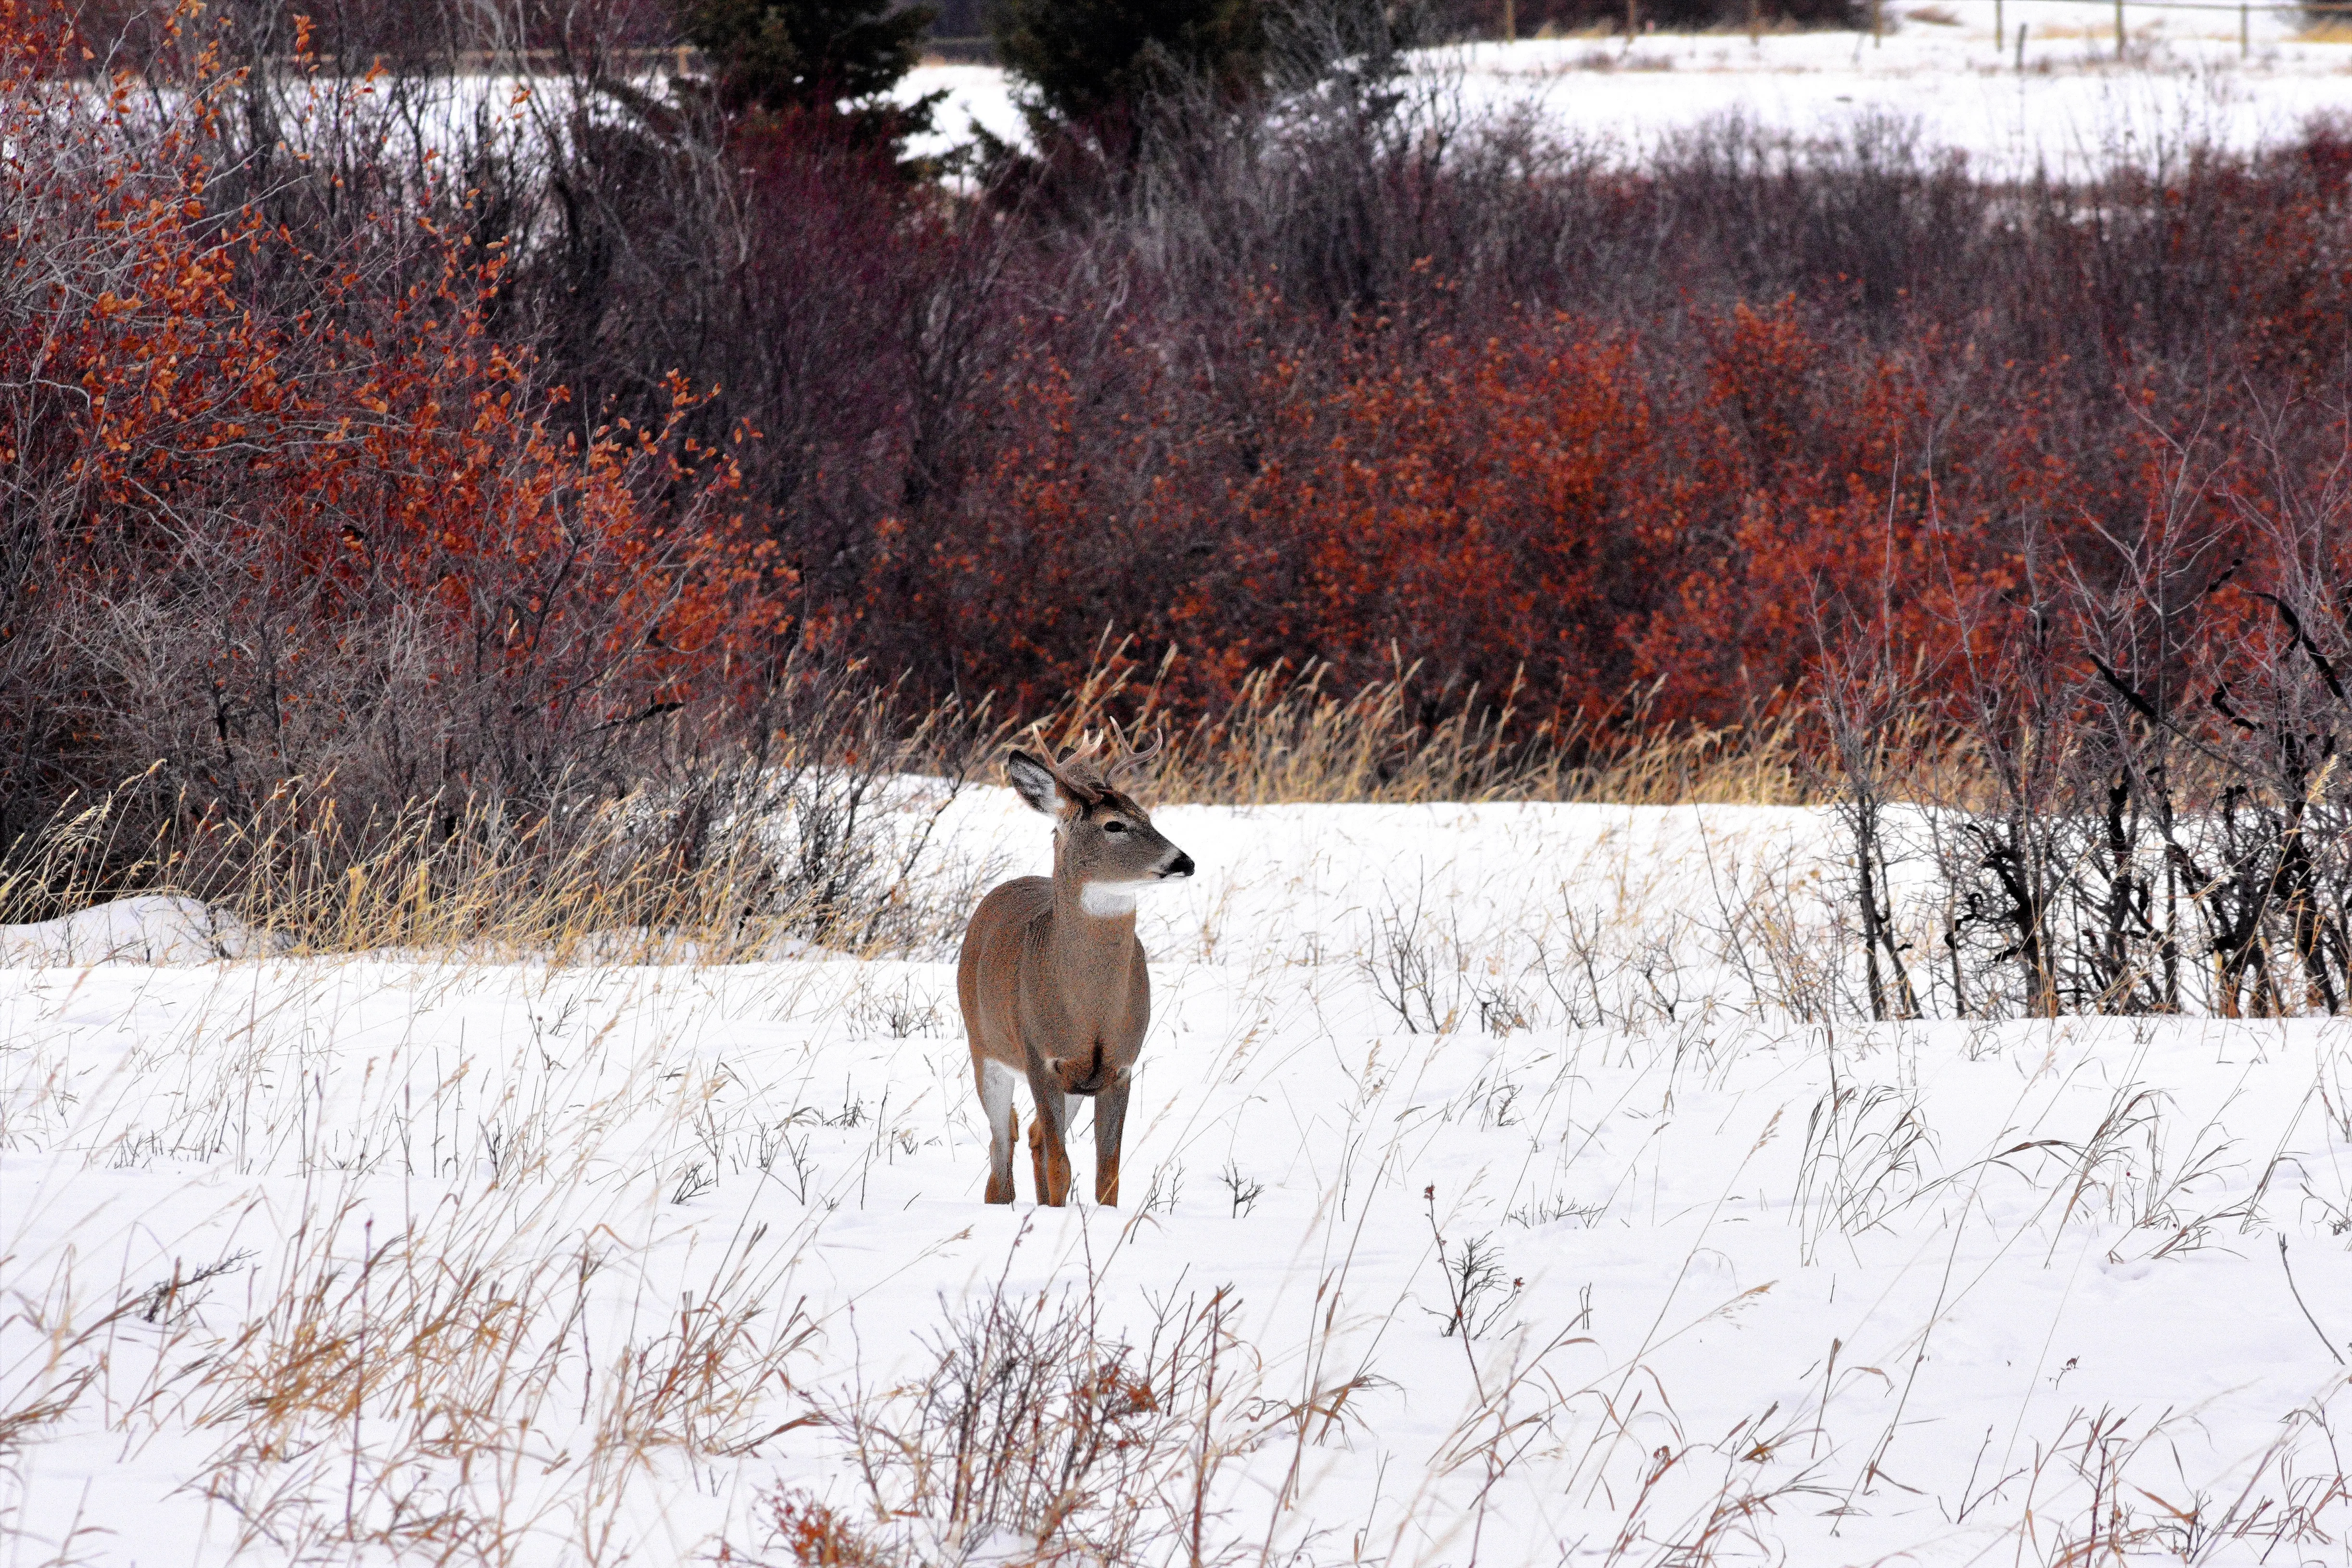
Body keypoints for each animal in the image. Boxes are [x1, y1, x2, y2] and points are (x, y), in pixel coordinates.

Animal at [957, 739, 1194, 1206]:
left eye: (1148, 815)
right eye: (1114, 825)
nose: (1184, 862)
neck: (1091, 1009)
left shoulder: (1119, 1067)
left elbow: (1108, 1174)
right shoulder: (1040, 1057)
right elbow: (1060, 1165)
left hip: (1074, 1088)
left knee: (1029, 1135)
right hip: (984, 1048)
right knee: (1001, 1143)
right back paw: (1004, 1201)